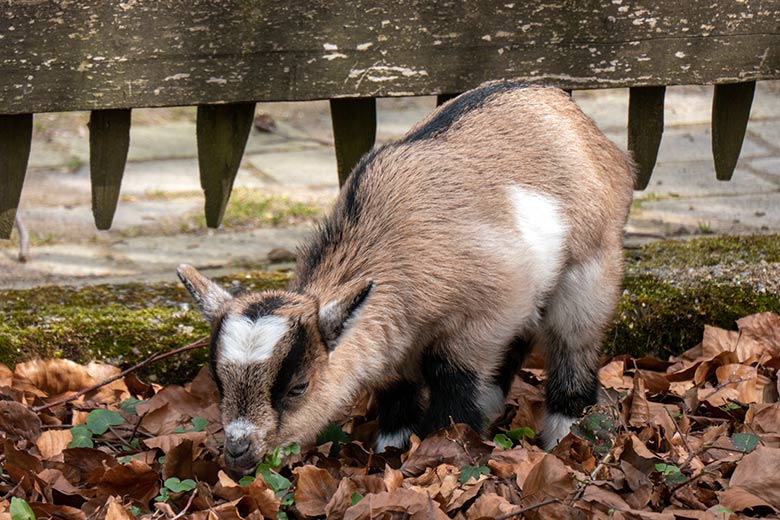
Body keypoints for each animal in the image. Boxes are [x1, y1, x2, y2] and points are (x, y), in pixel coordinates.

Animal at [180, 81, 636, 476]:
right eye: (218, 383)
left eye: (298, 387)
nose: (238, 453)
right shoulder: (395, 348)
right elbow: (397, 400)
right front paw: (391, 452)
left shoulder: (482, 319)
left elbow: (455, 390)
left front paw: (445, 454)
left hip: (589, 271)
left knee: (573, 344)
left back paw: (565, 437)